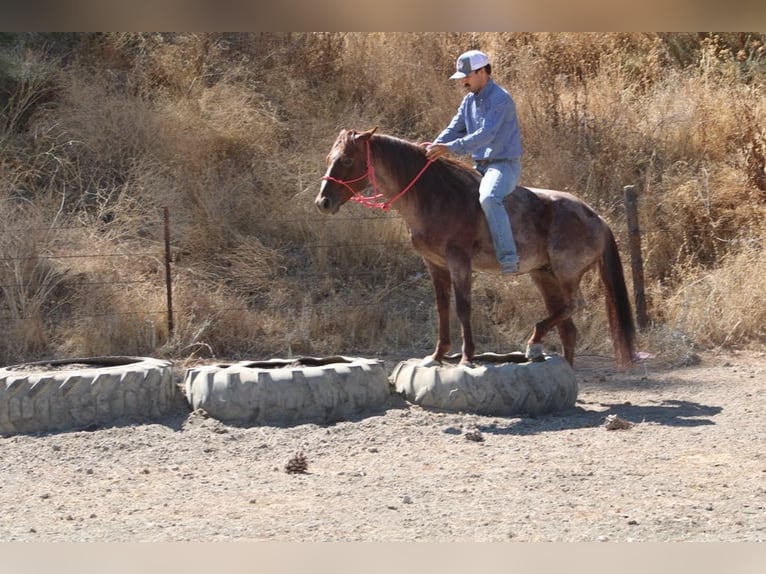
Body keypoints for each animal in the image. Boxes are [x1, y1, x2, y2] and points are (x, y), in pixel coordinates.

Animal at [314, 128, 636, 372]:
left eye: (346, 159)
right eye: (330, 158)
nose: (322, 202)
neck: (435, 196)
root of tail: (596, 217)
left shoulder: (459, 261)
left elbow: (463, 307)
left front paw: (466, 357)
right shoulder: (435, 264)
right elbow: (442, 307)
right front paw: (436, 356)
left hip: (566, 273)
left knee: (573, 306)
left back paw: (533, 342)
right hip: (544, 276)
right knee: (567, 325)